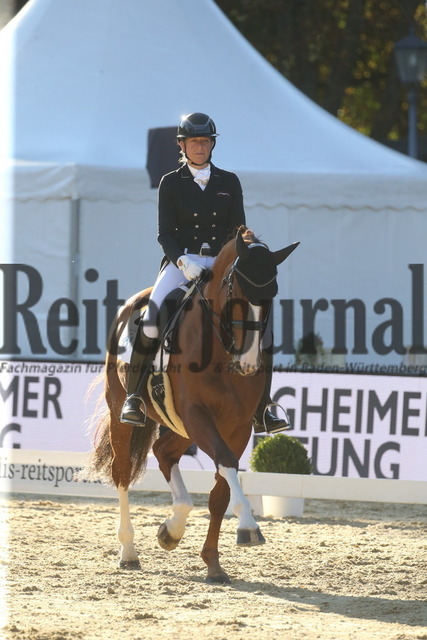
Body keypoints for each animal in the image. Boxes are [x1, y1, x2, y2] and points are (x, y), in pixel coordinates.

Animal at [85, 226, 300, 584]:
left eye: (273, 293)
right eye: (236, 289)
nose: (248, 364)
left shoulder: (237, 426)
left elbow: (220, 493)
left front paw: (213, 563)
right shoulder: (198, 416)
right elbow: (226, 465)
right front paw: (248, 526)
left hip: (182, 426)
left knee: (163, 452)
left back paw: (171, 529)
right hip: (122, 412)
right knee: (122, 472)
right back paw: (128, 552)